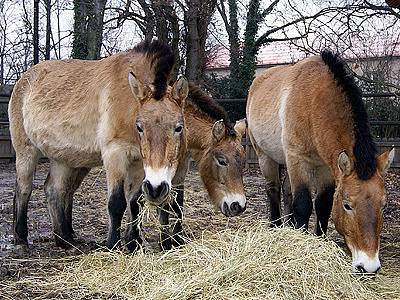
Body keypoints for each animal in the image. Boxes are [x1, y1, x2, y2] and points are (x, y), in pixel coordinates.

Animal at [8, 40, 190, 251]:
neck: (128, 103)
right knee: (24, 188)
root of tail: (24, 79)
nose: (156, 188)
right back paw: (21, 237)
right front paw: (112, 244)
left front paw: (134, 244)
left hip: (62, 159)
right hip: (26, 151)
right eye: (140, 127)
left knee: (54, 190)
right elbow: (116, 203)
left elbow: (135, 203)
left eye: (178, 127)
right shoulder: (115, 154)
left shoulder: (139, 162)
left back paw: (65, 239)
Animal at [247, 50, 394, 274]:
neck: (315, 102)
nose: (368, 267)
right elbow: (303, 205)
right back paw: (275, 226)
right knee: (273, 189)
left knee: (286, 191)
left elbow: (323, 205)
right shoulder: (298, 160)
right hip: (265, 156)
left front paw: (318, 239)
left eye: (384, 206)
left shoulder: (328, 169)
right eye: (347, 205)